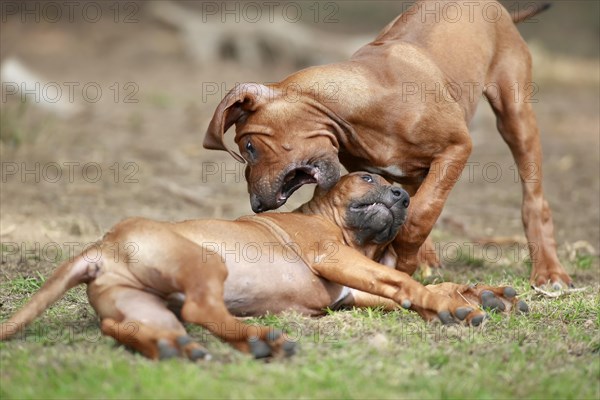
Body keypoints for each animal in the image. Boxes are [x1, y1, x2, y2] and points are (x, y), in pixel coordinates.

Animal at [0, 173, 524, 360]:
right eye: (369, 178)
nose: (404, 195)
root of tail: (103, 247)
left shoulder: (352, 290)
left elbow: (409, 285)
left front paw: (479, 294)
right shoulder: (335, 257)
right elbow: (402, 280)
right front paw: (451, 305)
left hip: (141, 305)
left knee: (129, 329)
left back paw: (175, 349)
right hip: (206, 264)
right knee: (200, 311)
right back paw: (260, 339)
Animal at [204, 0, 568, 288]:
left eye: (249, 147)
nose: (255, 205)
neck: (366, 106)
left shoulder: (457, 147)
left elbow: (420, 214)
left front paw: (403, 259)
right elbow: (414, 208)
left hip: (515, 116)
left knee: (533, 200)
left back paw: (549, 271)